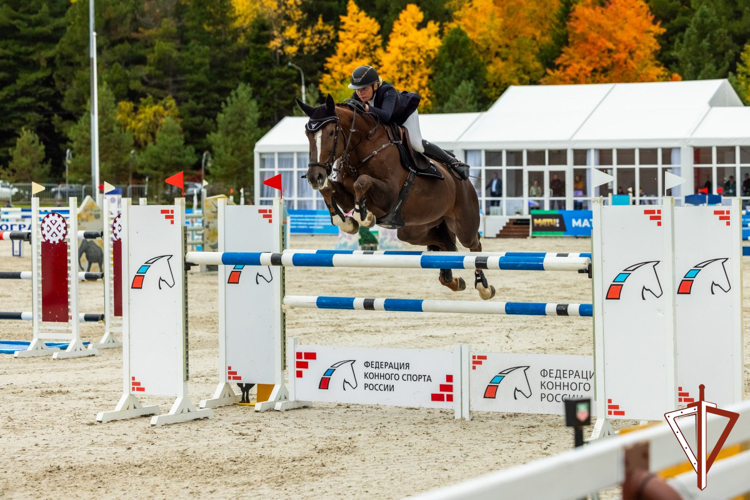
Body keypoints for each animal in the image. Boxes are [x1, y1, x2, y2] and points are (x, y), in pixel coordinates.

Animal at [296, 94, 496, 300]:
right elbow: (329, 189)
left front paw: (364, 216)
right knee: (446, 246)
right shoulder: (347, 197)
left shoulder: (388, 196)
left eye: (330, 133)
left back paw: (484, 287)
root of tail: (463, 181)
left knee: (475, 246)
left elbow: (362, 181)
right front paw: (345, 222)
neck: (361, 150)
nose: (314, 177)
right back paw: (454, 281)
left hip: (464, 224)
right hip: (415, 230)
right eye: (307, 134)